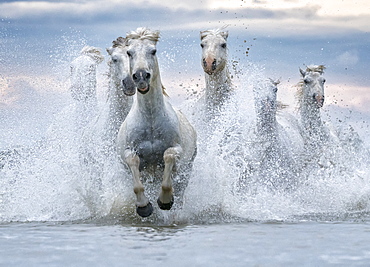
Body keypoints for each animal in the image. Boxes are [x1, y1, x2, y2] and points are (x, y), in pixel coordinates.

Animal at [117, 28, 198, 219]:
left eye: (153, 51)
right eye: (129, 52)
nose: (140, 76)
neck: (151, 120)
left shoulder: (176, 149)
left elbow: (168, 156)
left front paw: (165, 201)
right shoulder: (129, 152)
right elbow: (133, 162)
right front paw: (144, 207)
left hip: (186, 172)